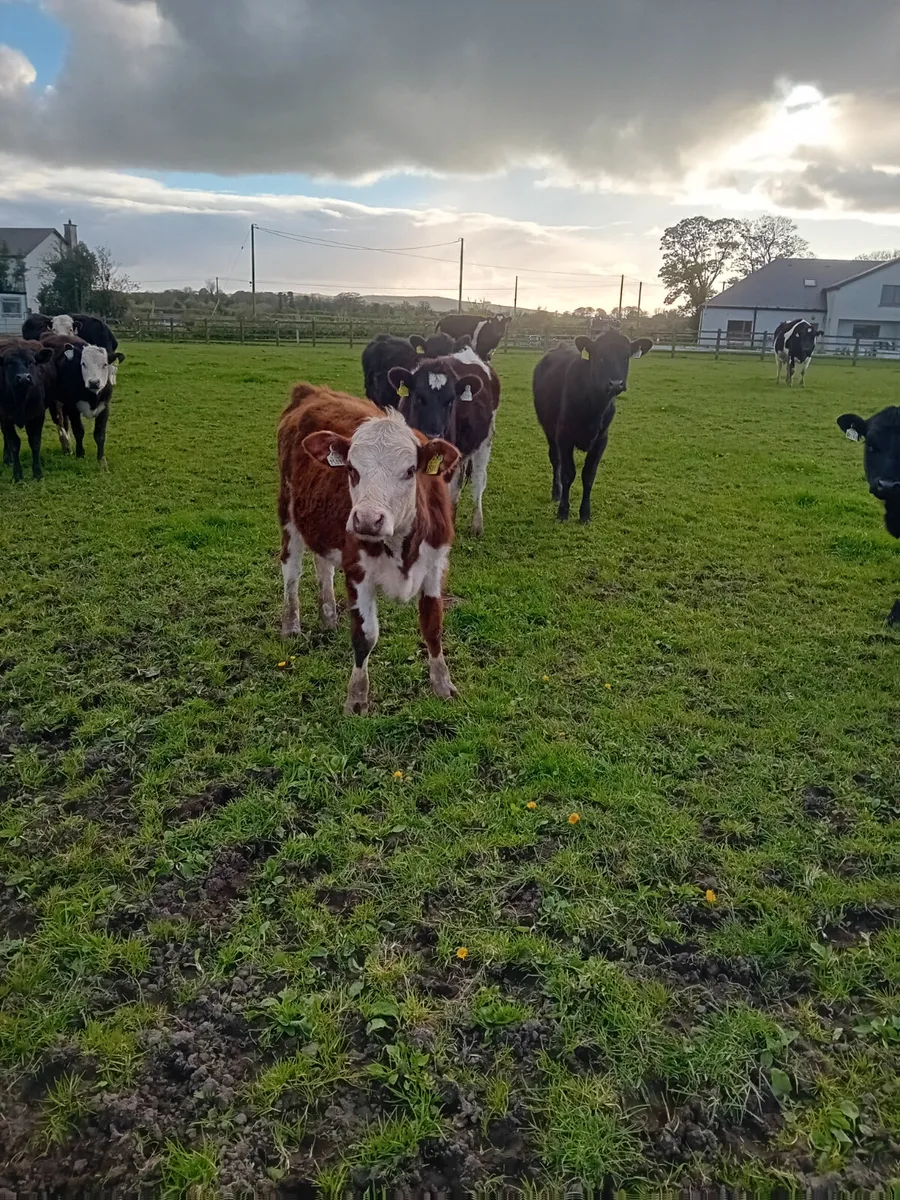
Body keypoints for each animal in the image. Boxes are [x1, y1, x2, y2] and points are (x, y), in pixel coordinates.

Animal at [278, 386, 460, 710]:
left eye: (410, 470)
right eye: (351, 469)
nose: (367, 520)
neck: (401, 543)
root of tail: (312, 391)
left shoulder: (436, 566)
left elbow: (433, 627)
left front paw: (442, 685)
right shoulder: (357, 571)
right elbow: (365, 636)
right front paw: (357, 698)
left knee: (323, 566)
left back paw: (329, 617)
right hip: (288, 513)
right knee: (291, 571)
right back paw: (290, 625)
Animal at [386, 345, 501, 537]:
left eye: (450, 401)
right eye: (419, 398)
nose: (433, 436)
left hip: (485, 442)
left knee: (478, 479)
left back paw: (476, 525)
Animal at [532, 331, 652, 523]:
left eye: (626, 357)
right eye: (600, 356)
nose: (616, 383)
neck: (594, 406)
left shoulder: (601, 440)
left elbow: (589, 475)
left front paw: (585, 514)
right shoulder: (564, 437)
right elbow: (568, 473)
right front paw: (563, 511)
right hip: (549, 429)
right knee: (555, 460)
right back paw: (556, 493)